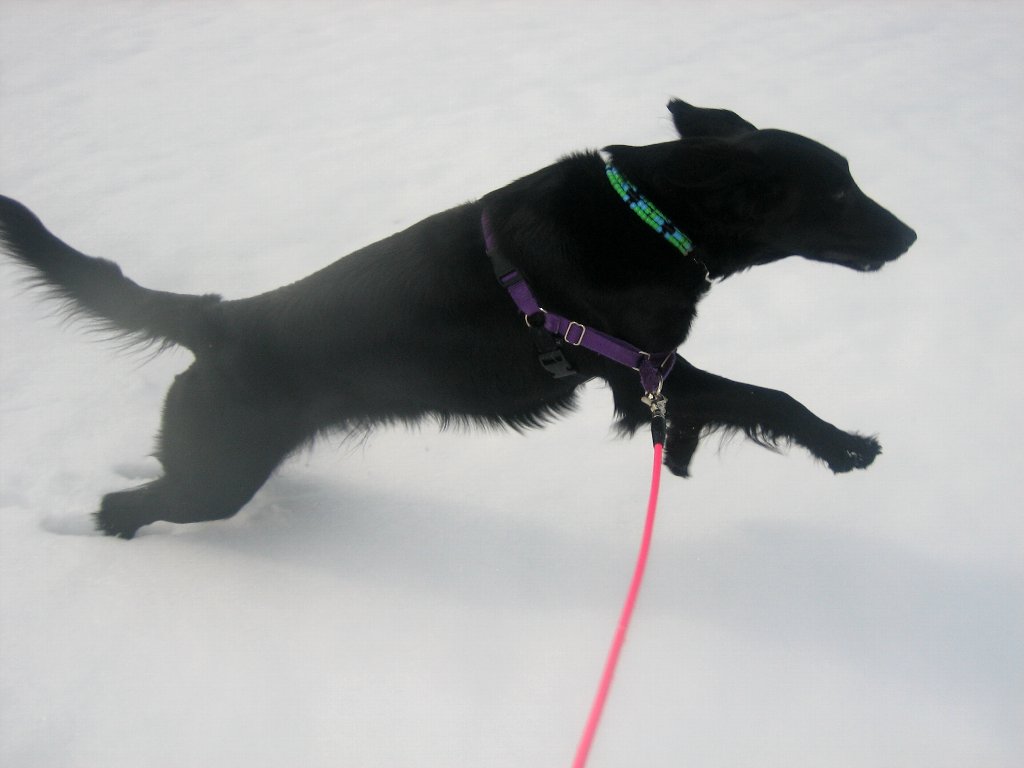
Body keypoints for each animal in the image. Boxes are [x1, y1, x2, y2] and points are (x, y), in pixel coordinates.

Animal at [0, 100, 916, 538]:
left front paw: (684, 458)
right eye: (838, 194)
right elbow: (770, 398)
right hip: (214, 479)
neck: (653, 214)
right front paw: (847, 447)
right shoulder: (640, 367)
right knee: (122, 506)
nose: (910, 235)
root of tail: (222, 321)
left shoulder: (655, 376)